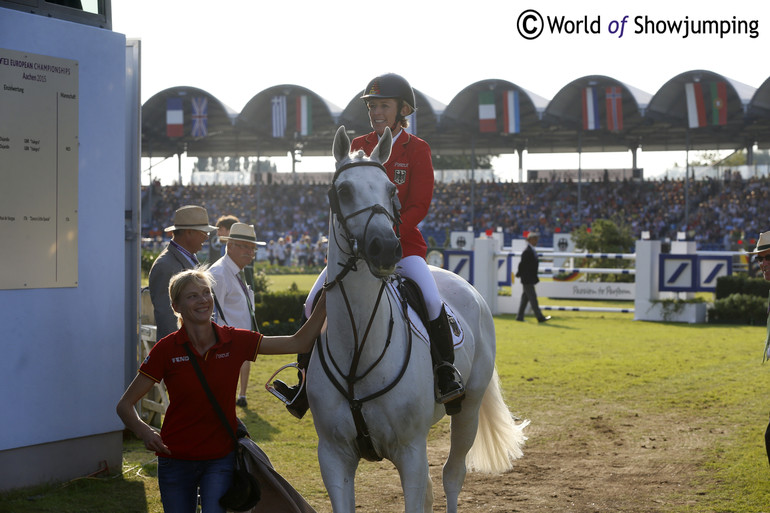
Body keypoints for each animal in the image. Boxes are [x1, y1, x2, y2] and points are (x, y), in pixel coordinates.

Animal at [306, 126, 528, 512]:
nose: (386, 248)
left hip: (468, 409)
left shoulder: (410, 451)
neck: (358, 348)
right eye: (344, 191)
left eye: (391, 189)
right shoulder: (333, 456)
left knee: (451, 476)